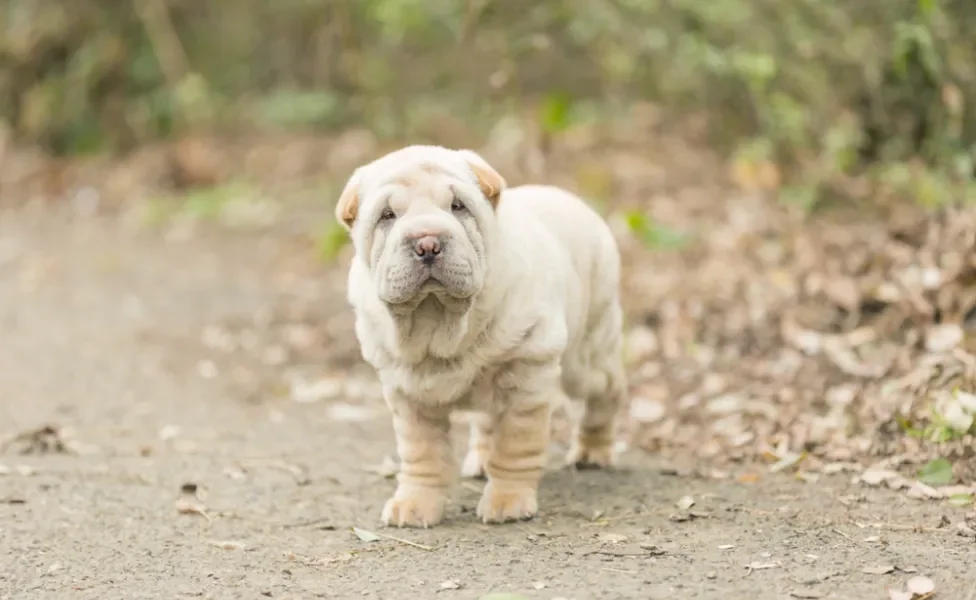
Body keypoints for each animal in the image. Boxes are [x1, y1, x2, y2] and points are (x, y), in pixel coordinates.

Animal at [336, 148, 624, 528]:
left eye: (458, 206)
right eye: (387, 215)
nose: (427, 243)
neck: (437, 321)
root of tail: (571, 199)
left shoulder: (527, 375)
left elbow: (516, 444)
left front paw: (507, 501)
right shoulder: (405, 391)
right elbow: (421, 453)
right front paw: (414, 504)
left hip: (586, 358)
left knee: (606, 392)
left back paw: (593, 451)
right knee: (488, 421)